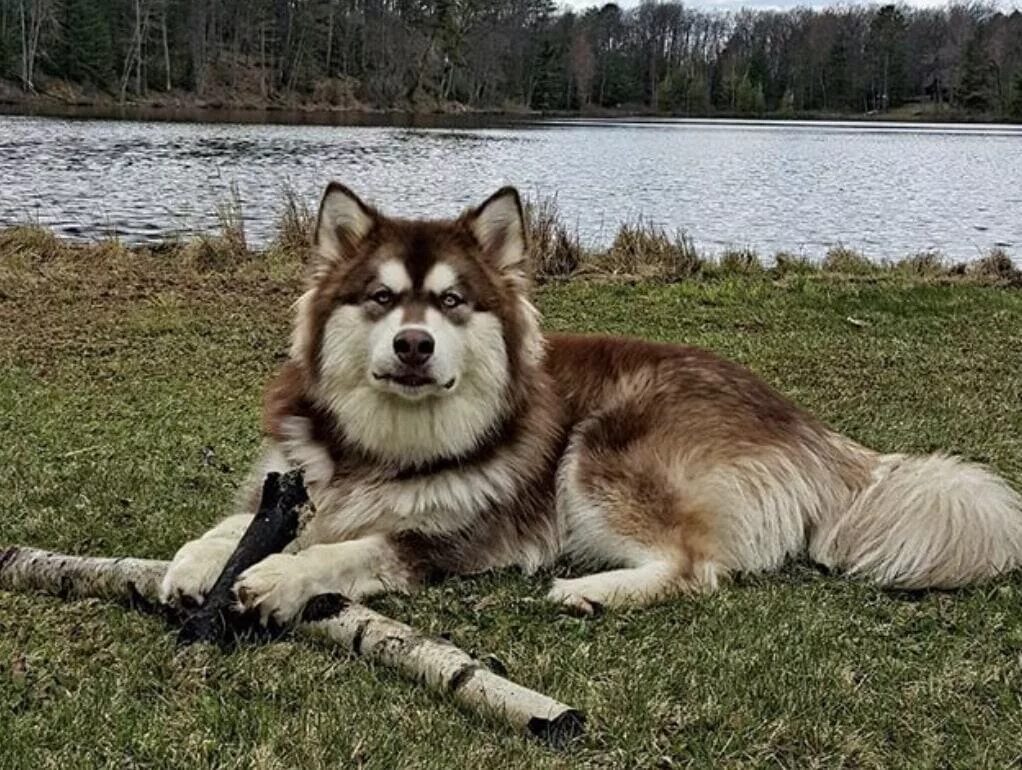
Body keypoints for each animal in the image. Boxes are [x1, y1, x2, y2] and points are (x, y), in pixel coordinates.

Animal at [157, 183, 1021, 621]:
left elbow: (352, 548)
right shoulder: (301, 484)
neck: (384, 447)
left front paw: (278, 578)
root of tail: (809, 426)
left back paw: (587, 592)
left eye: (453, 303)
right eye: (381, 298)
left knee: (697, 568)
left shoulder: (458, 539)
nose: (414, 345)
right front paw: (193, 562)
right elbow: (236, 525)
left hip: (604, 447)